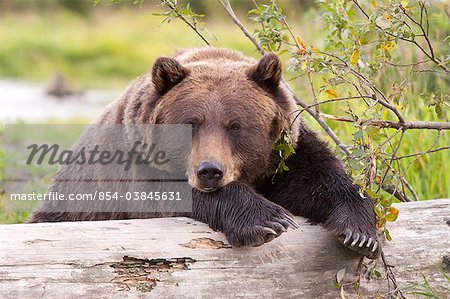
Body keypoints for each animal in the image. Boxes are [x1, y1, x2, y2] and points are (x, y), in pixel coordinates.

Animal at [29, 48, 380, 258]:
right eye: (191, 123)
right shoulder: (138, 165)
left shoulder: (284, 155)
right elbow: (173, 196)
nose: (209, 170)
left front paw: (360, 234)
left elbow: (320, 179)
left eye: (235, 125)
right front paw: (268, 220)